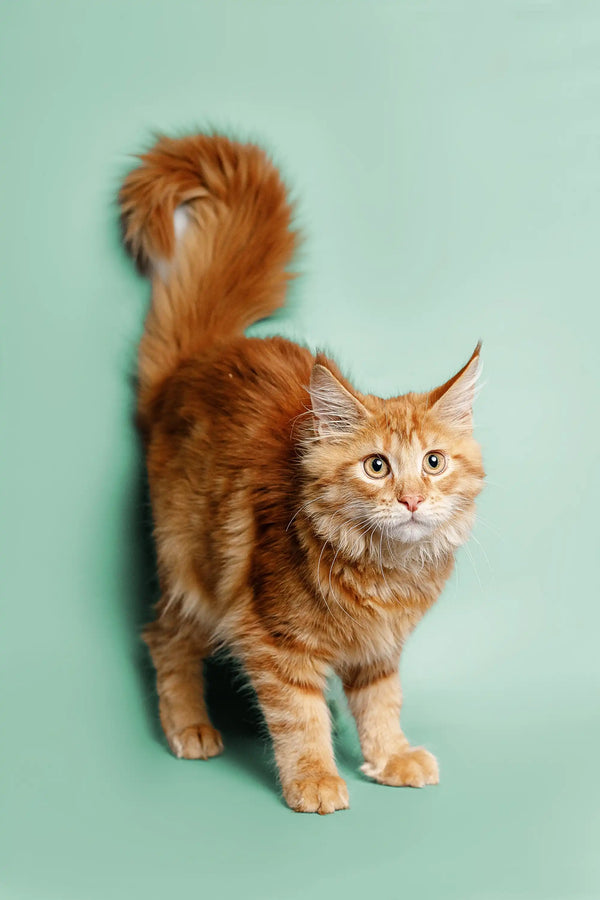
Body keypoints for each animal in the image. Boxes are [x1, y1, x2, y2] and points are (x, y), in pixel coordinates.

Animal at [119, 132, 486, 816]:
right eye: (376, 467)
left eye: (433, 462)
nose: (412, 500)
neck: (382, 573)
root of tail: (199, 358)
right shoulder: (273, 639)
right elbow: (298, 716)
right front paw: (314, 778)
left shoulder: (380, 649)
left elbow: (381, 703)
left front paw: (389, 757)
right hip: (194, 572)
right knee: (163, 638)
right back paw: (190, 728)